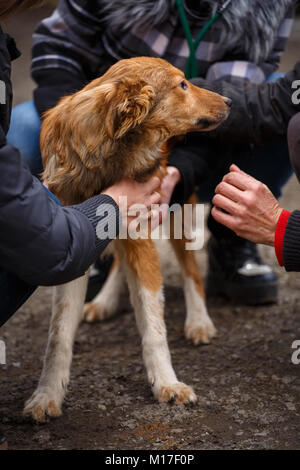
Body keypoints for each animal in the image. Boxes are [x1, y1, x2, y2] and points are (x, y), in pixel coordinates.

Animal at [23, 57, 230, 420]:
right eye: (182, 85)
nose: (231, 102)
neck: (110, 149)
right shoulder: (75, 237)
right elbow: (59, 333)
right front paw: (47, 394)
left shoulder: (141, 228)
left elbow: (153, 324)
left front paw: (167, 383)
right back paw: (106, 300)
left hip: (177, 205)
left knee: (191, 267)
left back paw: (199, 320)